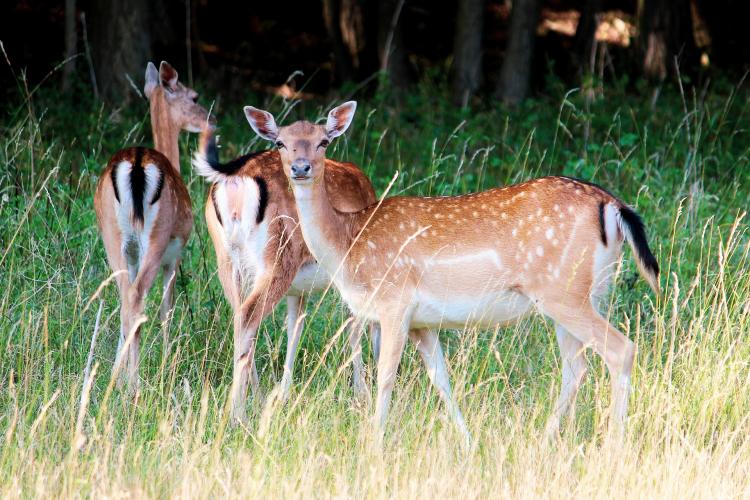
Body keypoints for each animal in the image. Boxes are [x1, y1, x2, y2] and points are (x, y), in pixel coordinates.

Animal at [94, 61, 212, 390]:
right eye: (194, 97)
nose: (210, 120)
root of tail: (135, 162)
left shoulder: (133, 255)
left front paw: (118, 371)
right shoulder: (176, 252)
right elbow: (167, 309)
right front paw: (167, 362)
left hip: (113, 236)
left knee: (125, 298)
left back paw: (118, 380)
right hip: (157, 237)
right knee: (137, 299)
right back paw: (135, 385)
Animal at [194, 120, 382, 422]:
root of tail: (236, 182)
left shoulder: (298, 291)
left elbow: (295, 328)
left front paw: (284, 393)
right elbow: (356, 327)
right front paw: (362, 394)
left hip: (227, 260)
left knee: (240, 318)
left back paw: (256, 399)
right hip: (277, 260)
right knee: (248, 316)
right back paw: (238, 414)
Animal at [241, 100, 664, 442]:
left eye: (323, 142)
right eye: (281, 142)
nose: (300, 167)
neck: (350, 243)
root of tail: (613, 206)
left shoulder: (395, 303)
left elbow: (386, 376)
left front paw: (374, 444)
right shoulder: (422, 322)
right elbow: (440, 379)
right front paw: (468, 441)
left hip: (564, 292)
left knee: (620, 351)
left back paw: (612, 445)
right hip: (588, 292)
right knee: (576, 368)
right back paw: (547, 440)